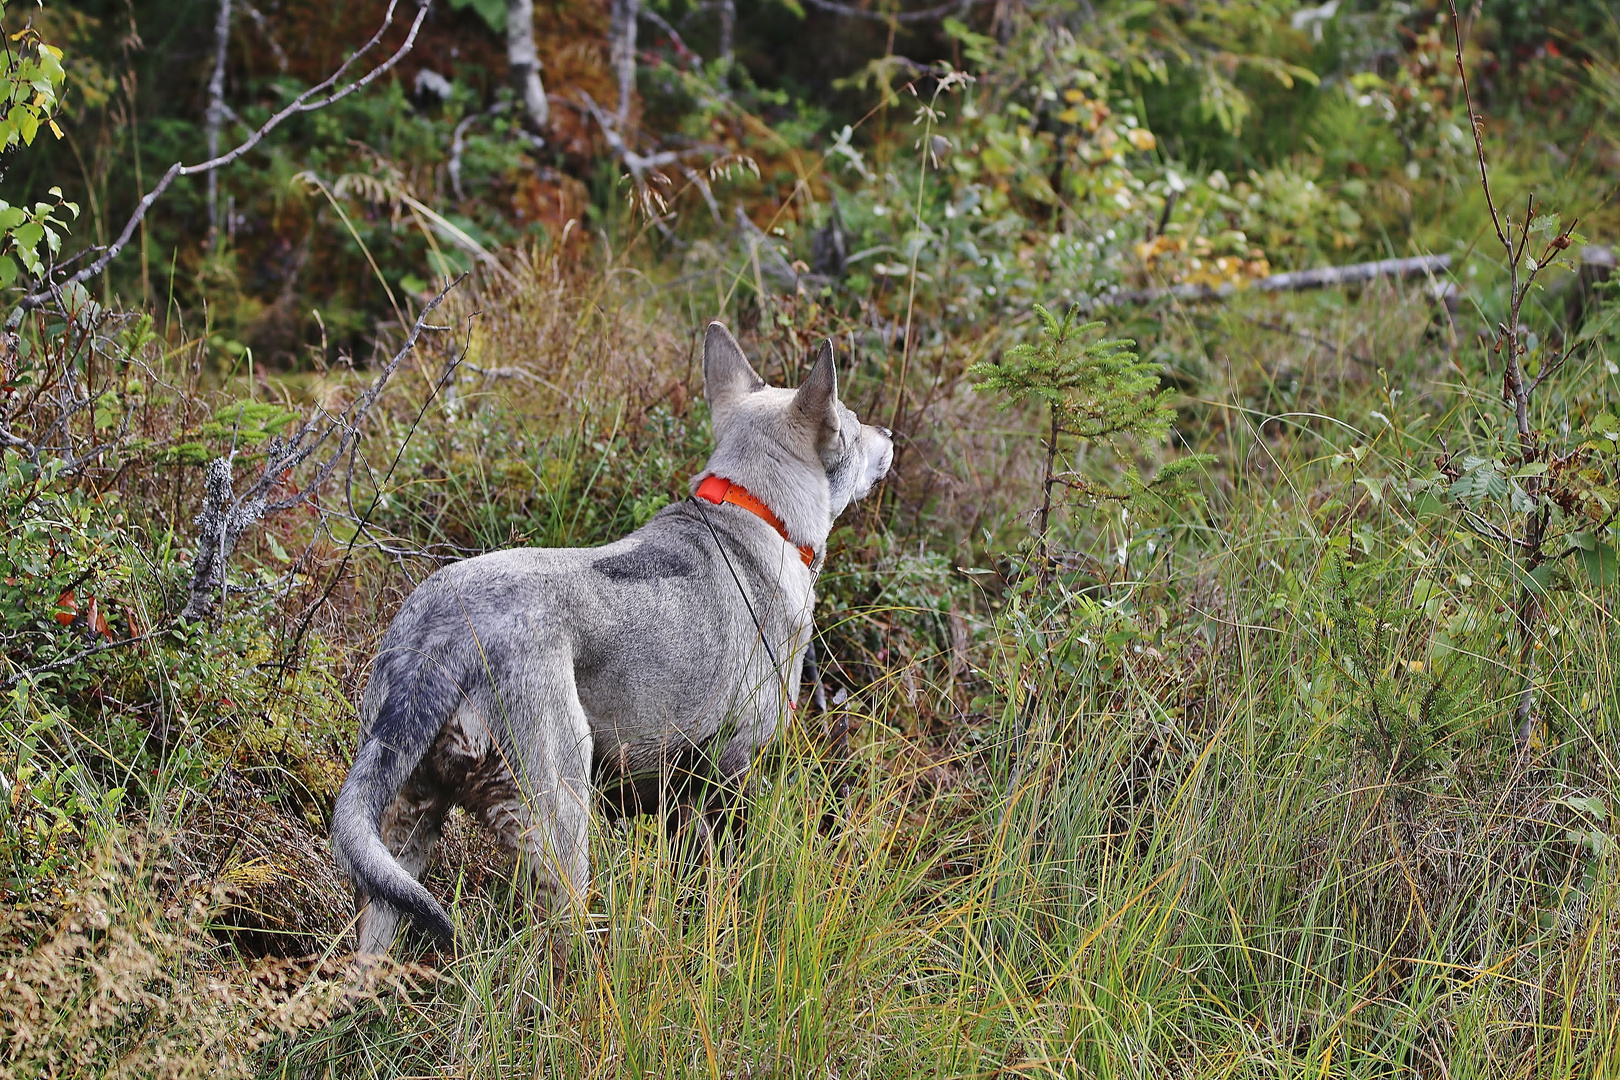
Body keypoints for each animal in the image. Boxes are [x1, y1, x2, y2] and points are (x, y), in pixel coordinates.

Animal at [322, 320, 894, 952]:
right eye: (852, 423)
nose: (890, 435)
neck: (756, 513)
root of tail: (442, 639)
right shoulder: (732, 769)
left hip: (400, 836)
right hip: (558, 819)